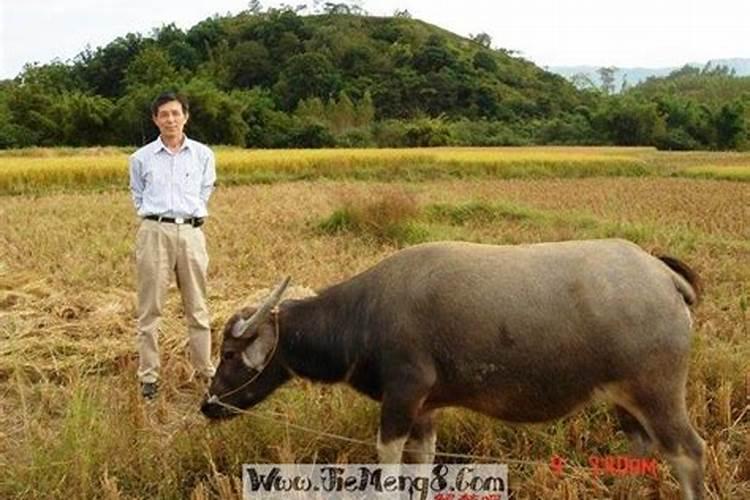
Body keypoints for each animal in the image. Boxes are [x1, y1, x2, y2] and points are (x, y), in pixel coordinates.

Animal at [200, 240, 704, 498]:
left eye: (229, 354)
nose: (208, 405)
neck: (365, 316)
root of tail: (662, 274)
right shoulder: (426, 410)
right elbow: (422, 466)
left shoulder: (402, 398)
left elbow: (388, 464)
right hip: (626, 403)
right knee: (642, 449)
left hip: (659, 395)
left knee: (688, 452)